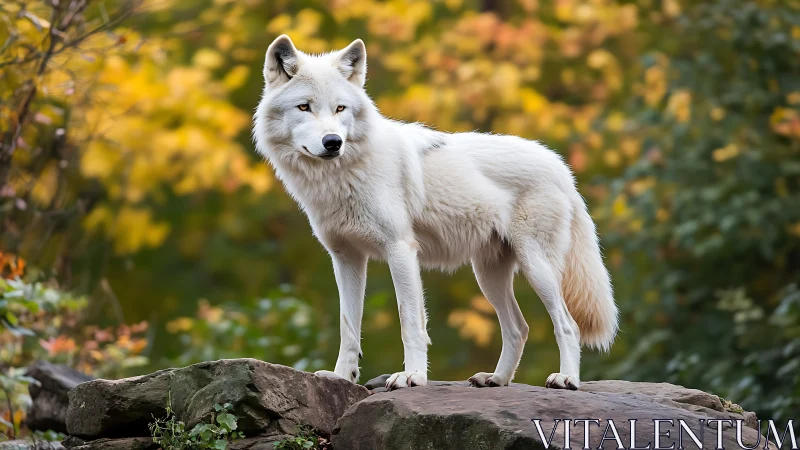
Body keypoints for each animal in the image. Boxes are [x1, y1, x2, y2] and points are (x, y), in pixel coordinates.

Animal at [253, 35, 618, 391]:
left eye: (340, 108)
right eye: (304, 107)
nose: (333, 142)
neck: (342, 177)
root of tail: (561, 167)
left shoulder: (400, 250)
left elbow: (409, 321)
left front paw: (412, 376)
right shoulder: (346, 258)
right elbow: (348, 326)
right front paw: (342, 377)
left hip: (536, 267)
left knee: (568, 325)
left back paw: (567, 379)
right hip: (488, 275)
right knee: (519, 328)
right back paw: (496, 379)